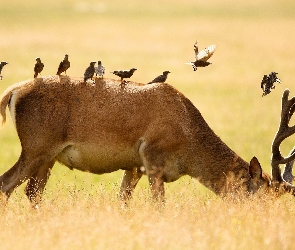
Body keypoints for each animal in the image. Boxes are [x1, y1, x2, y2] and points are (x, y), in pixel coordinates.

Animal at [0, 74, 294, 205]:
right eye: (263, 197)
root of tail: (14, 91)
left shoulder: (134, 166)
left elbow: (123, 200)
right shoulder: (153, 157)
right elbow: (158, 205)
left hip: (47, 157)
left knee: (32, 192)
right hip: (37, 146)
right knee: (6, 184)